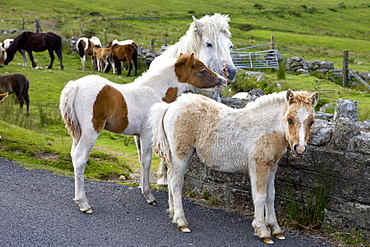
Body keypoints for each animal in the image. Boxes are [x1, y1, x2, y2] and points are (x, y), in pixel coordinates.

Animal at [59, 52, 227, 212]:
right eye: (202, 69)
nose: (223, 80)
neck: (155, 91)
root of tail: (75, 86)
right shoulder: (147, 134)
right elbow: (147, 161)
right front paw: (149, 196)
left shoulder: (137, 136)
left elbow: (140, 159)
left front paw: (142, 188)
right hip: (91, 131)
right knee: (80, 157)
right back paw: (84, 204)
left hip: (78, 132)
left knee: (74, 155)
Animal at [150, 89, 318, 243]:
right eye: (289, 119)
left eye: (312, 122)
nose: (300, 149)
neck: (266, 128)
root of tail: (171, 106)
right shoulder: (258, 165)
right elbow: (260, 196)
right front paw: (262, 230)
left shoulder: (271, 166)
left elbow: (271, 195)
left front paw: (275, 229)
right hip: (181, 154)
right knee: (176, 184)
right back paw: (181, 221)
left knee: (170, 179)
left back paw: (173, 213)